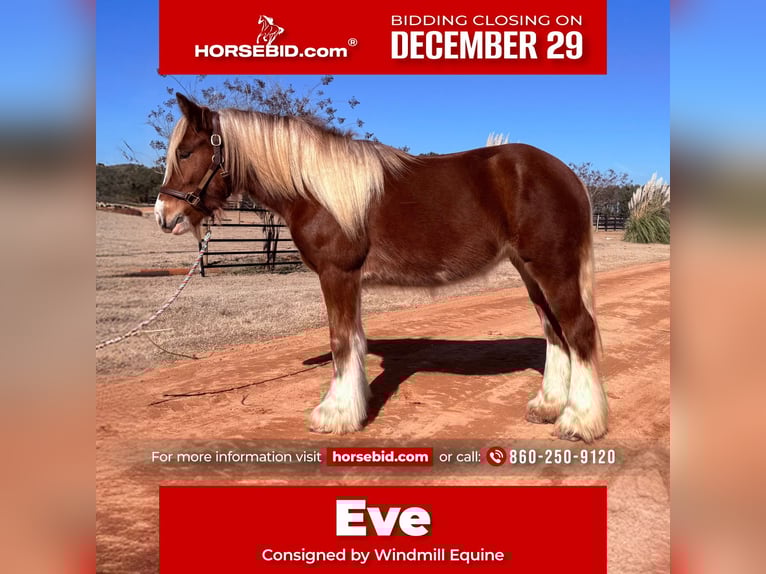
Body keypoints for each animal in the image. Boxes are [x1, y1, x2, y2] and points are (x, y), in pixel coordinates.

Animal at [154, 93, 608, 442]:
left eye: (185, 152)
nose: (164, 216)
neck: (315, 188)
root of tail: (568, 175)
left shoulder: (337, 274)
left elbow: (341, 341)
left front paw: (335, 415)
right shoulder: (349, 280)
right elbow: (355, 340)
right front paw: (354, 406)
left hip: (553, 268)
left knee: (579, 330)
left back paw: (579, 422)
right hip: (531, 272)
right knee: (555, 333)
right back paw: (548, 406)